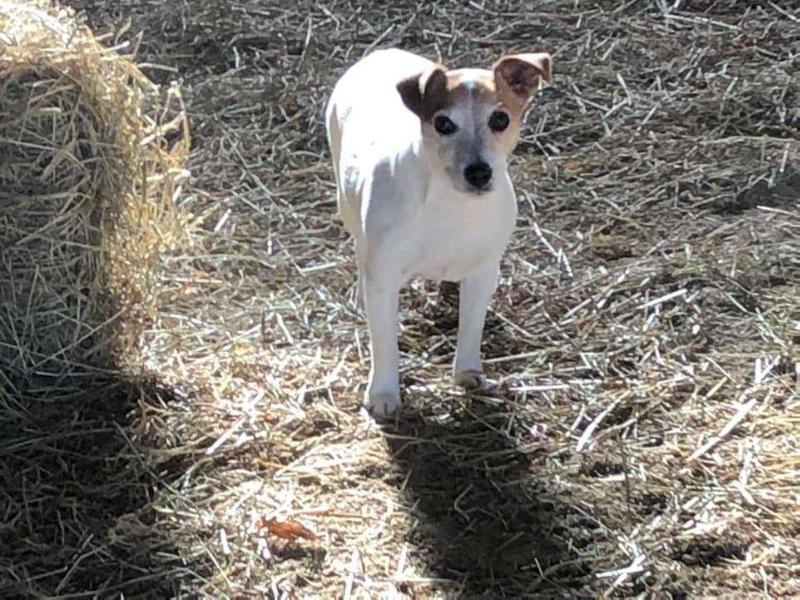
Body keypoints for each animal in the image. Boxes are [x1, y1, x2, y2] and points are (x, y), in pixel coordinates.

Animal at [324, 48, 552, 418]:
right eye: (444, 123)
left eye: (500, 120)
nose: (478, 172)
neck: (452, 204)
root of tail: (382, 52)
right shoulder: (383, 278)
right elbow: (384, 343)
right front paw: (383, 393)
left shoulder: (484, 272)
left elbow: (471, 327)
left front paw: (468, 374)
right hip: (347, 202)